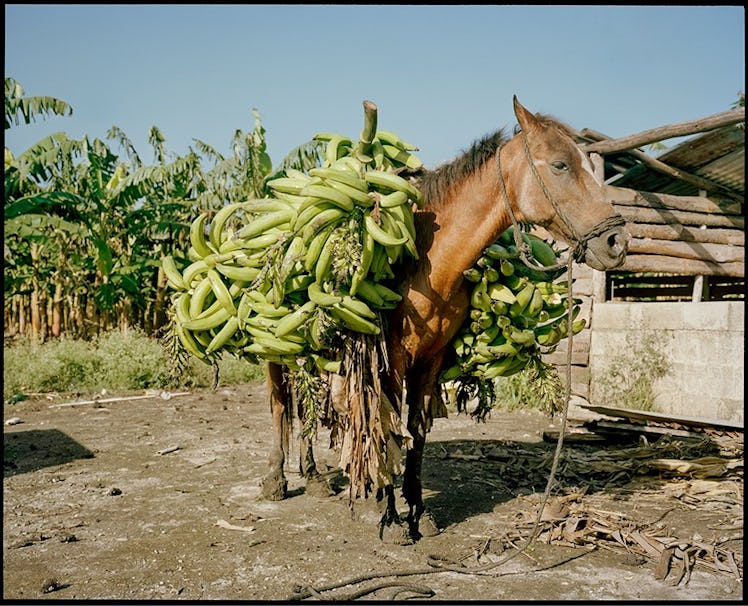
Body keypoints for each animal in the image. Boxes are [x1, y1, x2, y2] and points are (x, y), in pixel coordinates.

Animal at [260, 96, 628, 548]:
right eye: (560, 165)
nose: (617, 242)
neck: (426, 261)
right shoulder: (390, 362)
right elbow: (388, 428)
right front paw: (388, 516)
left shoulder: (430, 360)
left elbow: (416, 432)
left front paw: (418, 511)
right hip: (275, 350)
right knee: (281, 405)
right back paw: (276, 479)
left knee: (304, 403)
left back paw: (312, 476)